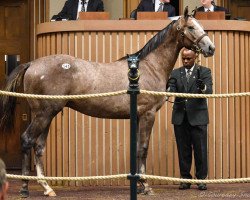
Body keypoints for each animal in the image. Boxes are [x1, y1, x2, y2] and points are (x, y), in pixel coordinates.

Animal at [0, 7, 215, 197]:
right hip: (43, 114)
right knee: (27, 140)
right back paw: (25, 188)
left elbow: (137, 148)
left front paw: (140, 185)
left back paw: (47, 188)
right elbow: (143, 148)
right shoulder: (148, 114)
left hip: (47, 115)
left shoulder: (138, 116)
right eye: (191, 27)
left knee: (38, 147)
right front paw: (146, 186)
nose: (210, 48)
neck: (149, 67)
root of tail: (31, 64)